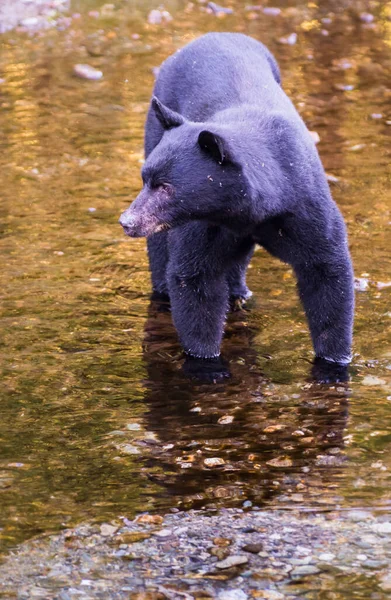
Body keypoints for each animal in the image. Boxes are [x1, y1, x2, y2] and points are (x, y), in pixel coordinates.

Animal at [119, 32, 356, 382]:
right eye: (145, 178)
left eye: (166, 187)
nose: (127, 220)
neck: (250, 210)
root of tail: (210, 36)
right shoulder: (205, 224)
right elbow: (195, 278)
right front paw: (206, 363)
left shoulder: (304, 204)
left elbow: (326, 273)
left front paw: (334, 363)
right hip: (155, 125)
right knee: (163, 254)